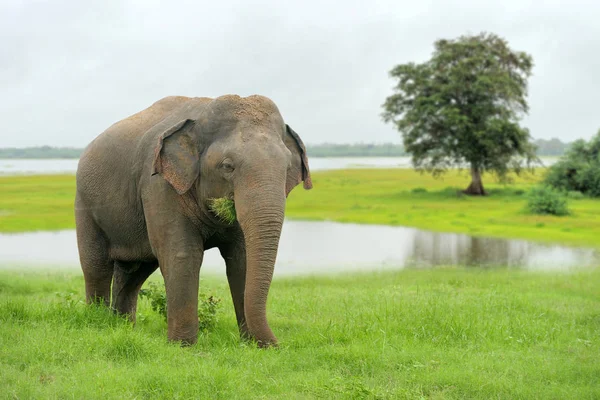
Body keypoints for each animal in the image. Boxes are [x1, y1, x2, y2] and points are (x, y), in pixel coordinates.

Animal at [74, 94, 314, 346]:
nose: (276, 345)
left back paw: (122, 327)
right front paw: (182, 346)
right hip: (85, 204)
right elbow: (182, 254)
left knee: (134, 272)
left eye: (287, 167)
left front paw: (250, 345)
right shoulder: (158, 185)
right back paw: (99, 323)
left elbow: (242, 257)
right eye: (227, 166)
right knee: (96, 266)